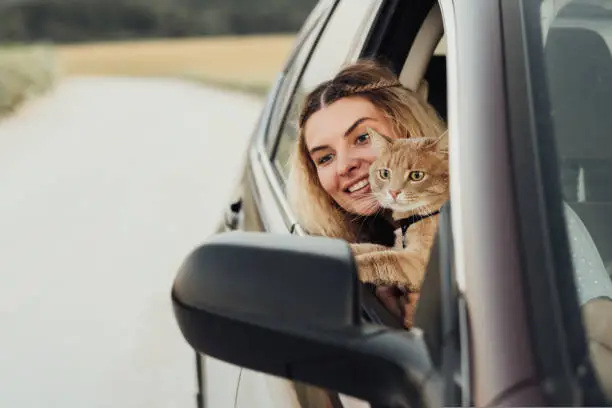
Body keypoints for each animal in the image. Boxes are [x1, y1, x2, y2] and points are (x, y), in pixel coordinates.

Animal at [352, 127, 448, 290]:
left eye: (417, 175)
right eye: (385, 173)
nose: (393, 192)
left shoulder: (416, 262)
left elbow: (378, 259)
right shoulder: (398, 249)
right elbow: (371, 248)